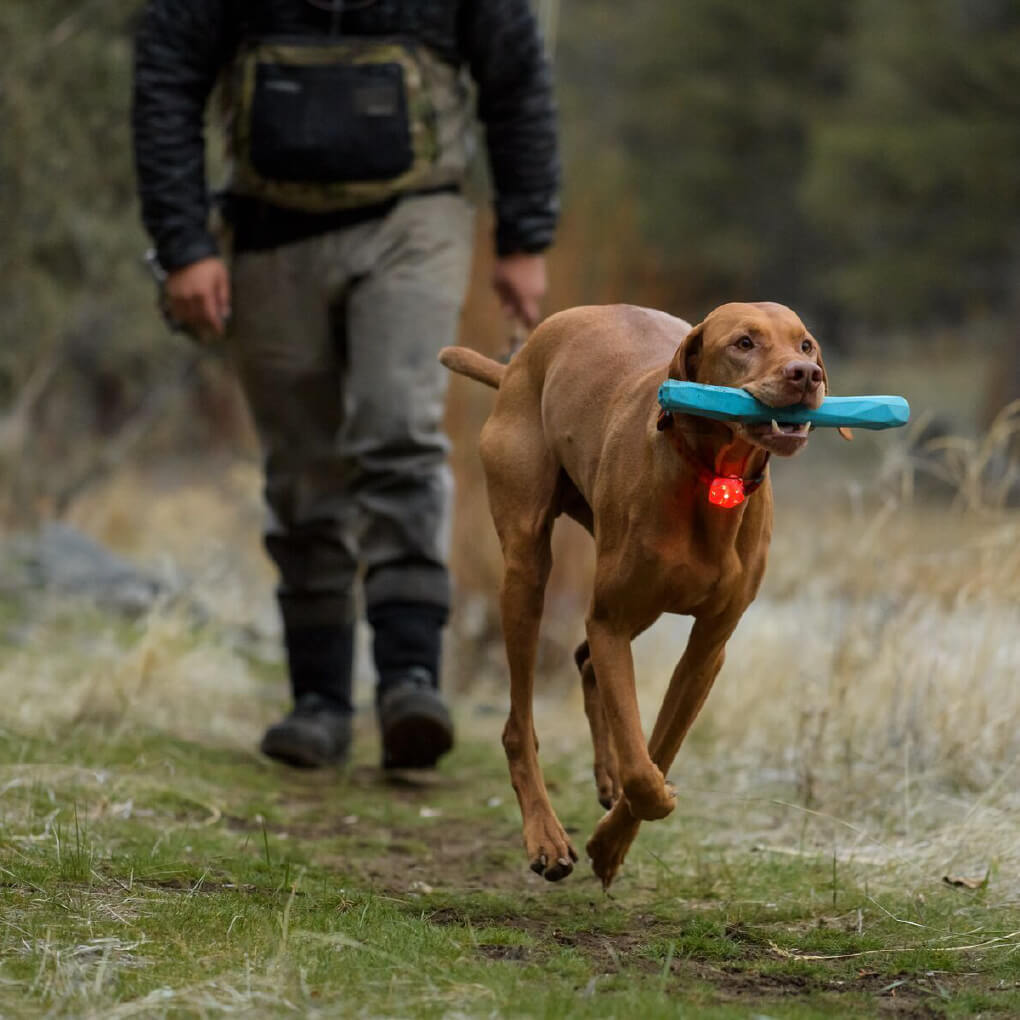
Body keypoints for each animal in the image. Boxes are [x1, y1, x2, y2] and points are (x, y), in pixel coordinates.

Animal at [438, 299, 828, 885]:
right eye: (744, 343)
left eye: (804, 345)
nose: (806, 375)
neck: (712, 477)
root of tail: (520, 360)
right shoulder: (613, 621)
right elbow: (644, 769)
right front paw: (638, 814)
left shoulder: (708, 647)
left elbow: (657, 748)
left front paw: (614, 839)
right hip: (527, 568)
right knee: (519, 724)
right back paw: (545, 835)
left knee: (585, 662)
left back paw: (605, 778)